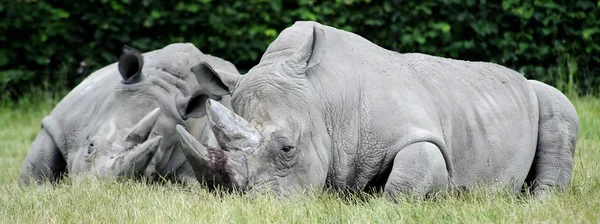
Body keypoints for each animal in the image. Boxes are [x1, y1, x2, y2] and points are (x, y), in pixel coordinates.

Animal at [18, 43, 236, 185]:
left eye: (148, 174)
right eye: (90, 147)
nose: (95, 190)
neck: (167, 81)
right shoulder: (60, 124)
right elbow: (36, 168)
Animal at [176, 21, 580, 200]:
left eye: (288, 149)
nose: (255, 205)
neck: (324, 98)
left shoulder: (422, 138)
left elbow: (408, 177)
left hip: (540, 95)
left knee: (556, 104)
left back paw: (537, 202)